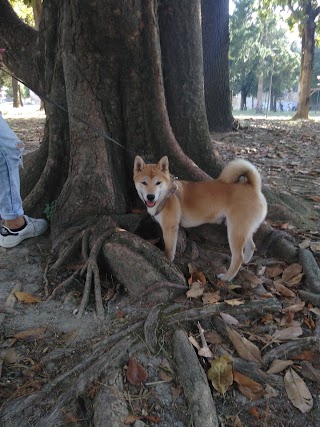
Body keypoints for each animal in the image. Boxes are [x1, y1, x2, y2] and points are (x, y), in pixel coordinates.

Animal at [133, 155, 268, 282]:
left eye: (158, 183)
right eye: (144, 183)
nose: (150, 196)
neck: (167, 195)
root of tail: (253, 187)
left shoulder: (169, 228)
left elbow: (169, 250)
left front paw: (168, 261)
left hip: (235, 230)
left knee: (238, 256)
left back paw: (227, 277)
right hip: (243, 228)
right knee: (251, 245)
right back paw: (246, 261)